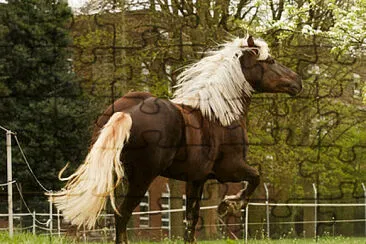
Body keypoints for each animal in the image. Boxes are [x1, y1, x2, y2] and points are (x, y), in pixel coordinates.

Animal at [50, 35, 302, 243]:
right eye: (270, 61)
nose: (297, 82)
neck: (220, 113)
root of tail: (126, 113)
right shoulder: (230, 169)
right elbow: (255, 178)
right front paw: (229, 205)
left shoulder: (196, 179)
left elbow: (191, 220)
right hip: (142, 178)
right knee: (122, 215)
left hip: (114, 175)